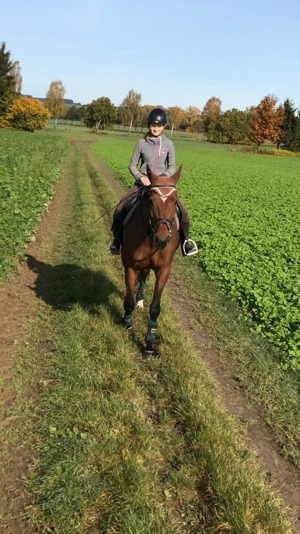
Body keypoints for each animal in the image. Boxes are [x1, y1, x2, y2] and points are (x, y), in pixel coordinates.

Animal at [120, 166, 182, 360]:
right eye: (151, 200)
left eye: (174, 201)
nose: (162, 240)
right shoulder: (130, 266)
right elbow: (128, 300)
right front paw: (127, 321)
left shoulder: (163, 270)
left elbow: (155, 308)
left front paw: (149, 345)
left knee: (144, 279)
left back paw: (141, 301)